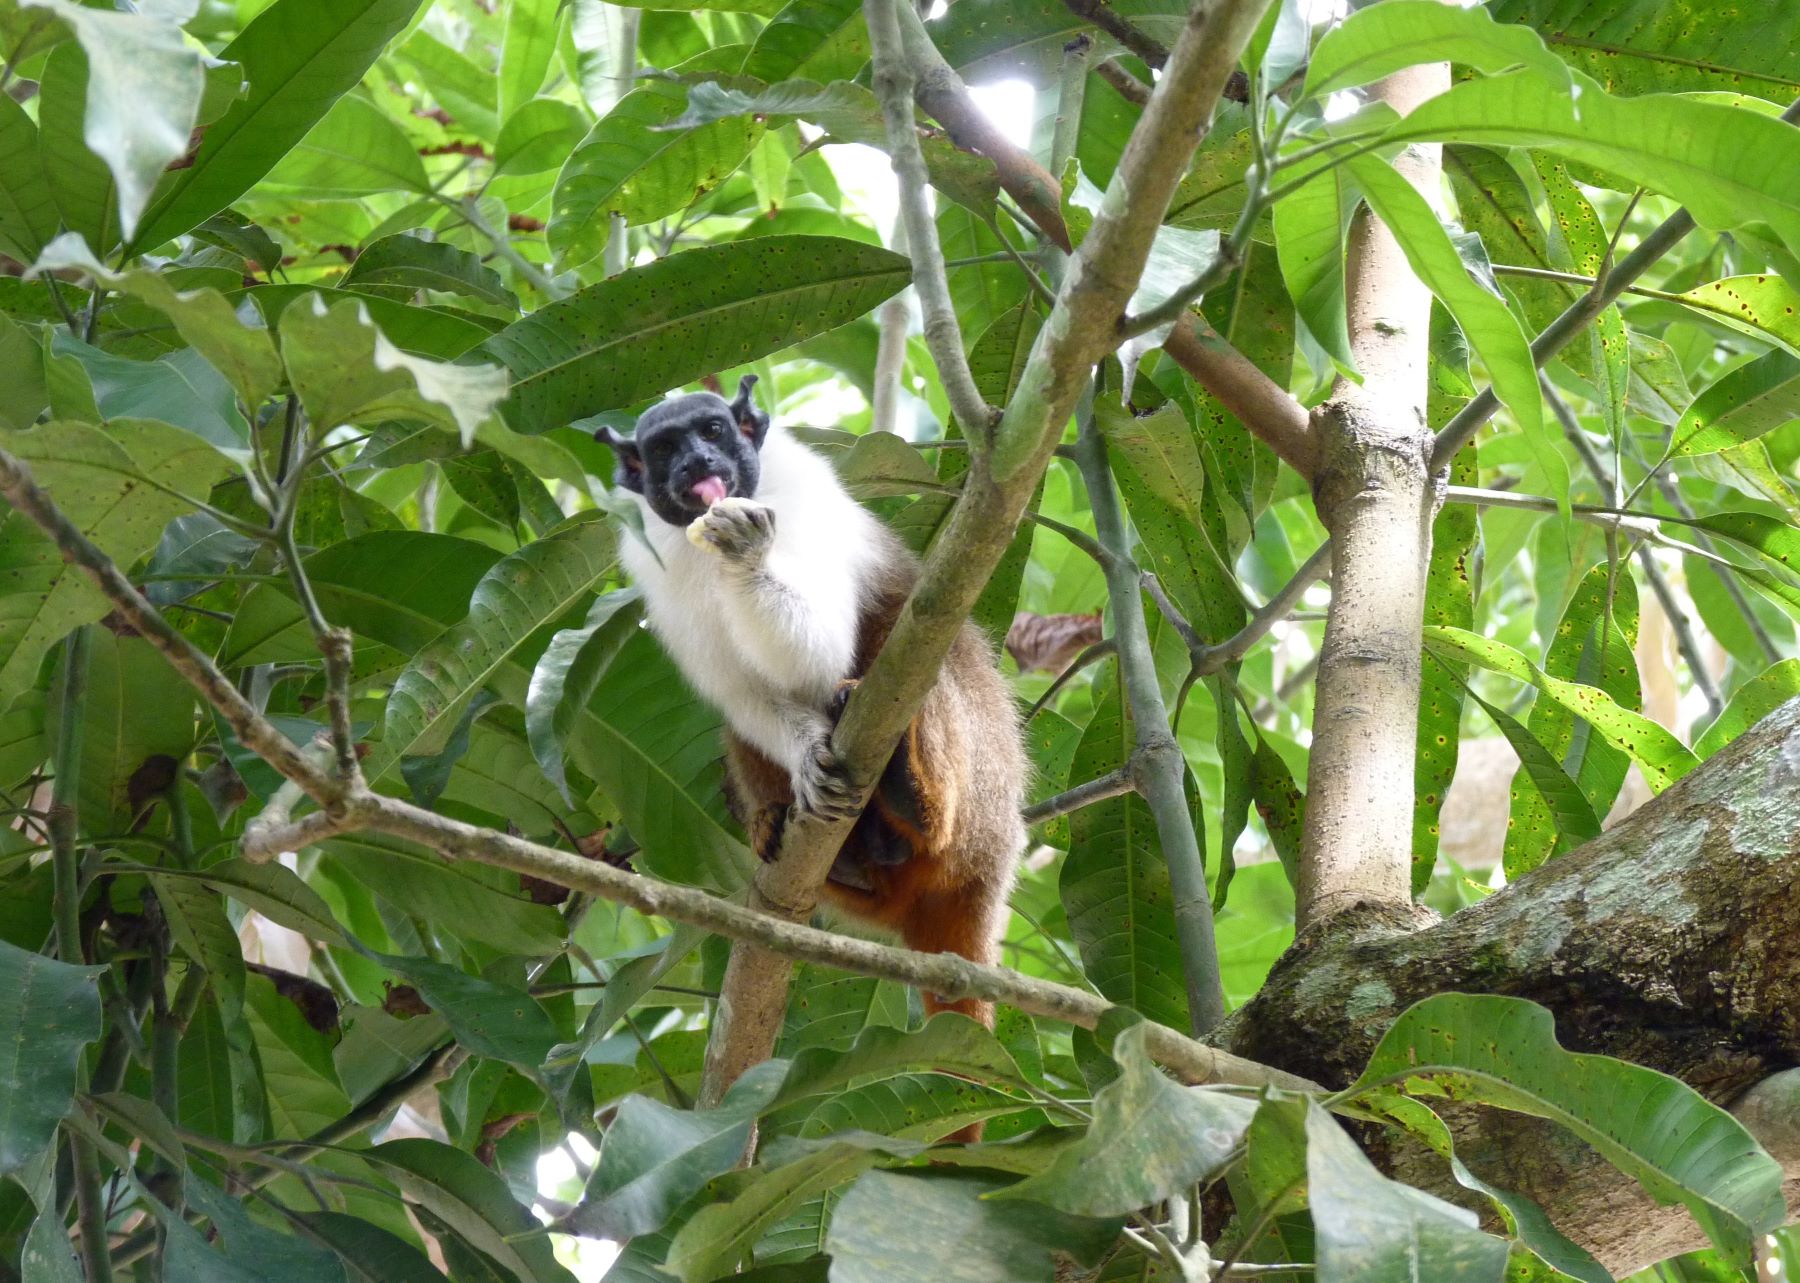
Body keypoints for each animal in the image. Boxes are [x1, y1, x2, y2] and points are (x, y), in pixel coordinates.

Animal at [601, 376, 1029, 1029]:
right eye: (666, 448)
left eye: (713, 432)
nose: (698, 463)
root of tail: (992, 871)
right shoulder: (655, 565)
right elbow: (742, 695)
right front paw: (806, 760)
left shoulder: (798, 500)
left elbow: (824, 654)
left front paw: (747, 556)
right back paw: (826, 847)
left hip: (983, 802)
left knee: (916, 659)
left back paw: (915, 798)